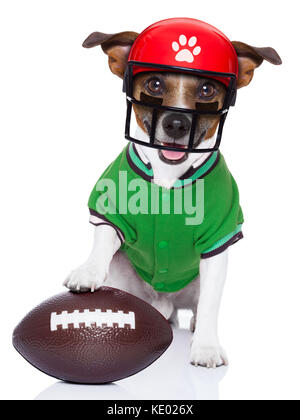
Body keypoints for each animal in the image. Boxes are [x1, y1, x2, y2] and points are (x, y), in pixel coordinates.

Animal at [63, 19, 282, 368]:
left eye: (207, 90)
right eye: (154, 83)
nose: (177, 123)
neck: (168, 176)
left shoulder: (218, 242)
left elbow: (209, 304)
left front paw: (206, 346)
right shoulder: (110, 209)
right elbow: (104, 239)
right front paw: (88, 271)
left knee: (198, 306)